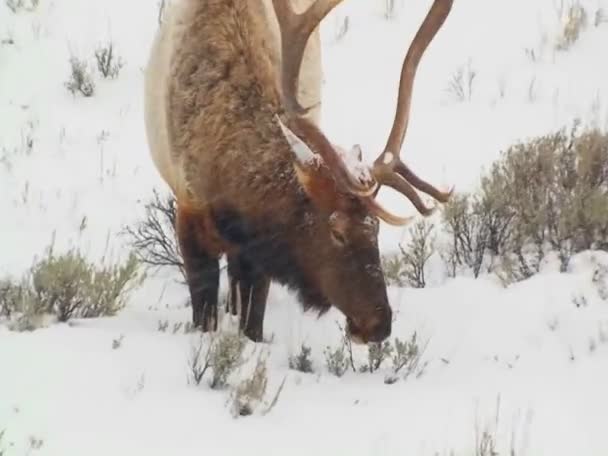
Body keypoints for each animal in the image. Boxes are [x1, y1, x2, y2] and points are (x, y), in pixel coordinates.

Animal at [144, 0, 452, 342]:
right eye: (336, 232)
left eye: (376, 227)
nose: (379, 325)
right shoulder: (188, 214)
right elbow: (204, 313)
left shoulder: (257, 249)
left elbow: (252, 321)